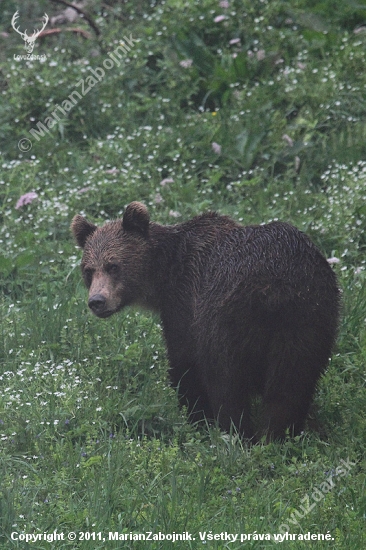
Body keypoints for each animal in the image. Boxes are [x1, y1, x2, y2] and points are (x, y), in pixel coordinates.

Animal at [71, 203, 340, 444]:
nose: (97, 301)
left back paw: (238, 433)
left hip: (228, 316)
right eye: (89, 270)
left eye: (113, 266)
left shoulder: (184, 305)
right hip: (309, 318)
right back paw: (279, 435)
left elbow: (186, 362)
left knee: (227, 380)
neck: (163, 276)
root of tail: (275, 287)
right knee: (291, 382)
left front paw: (196, 416)